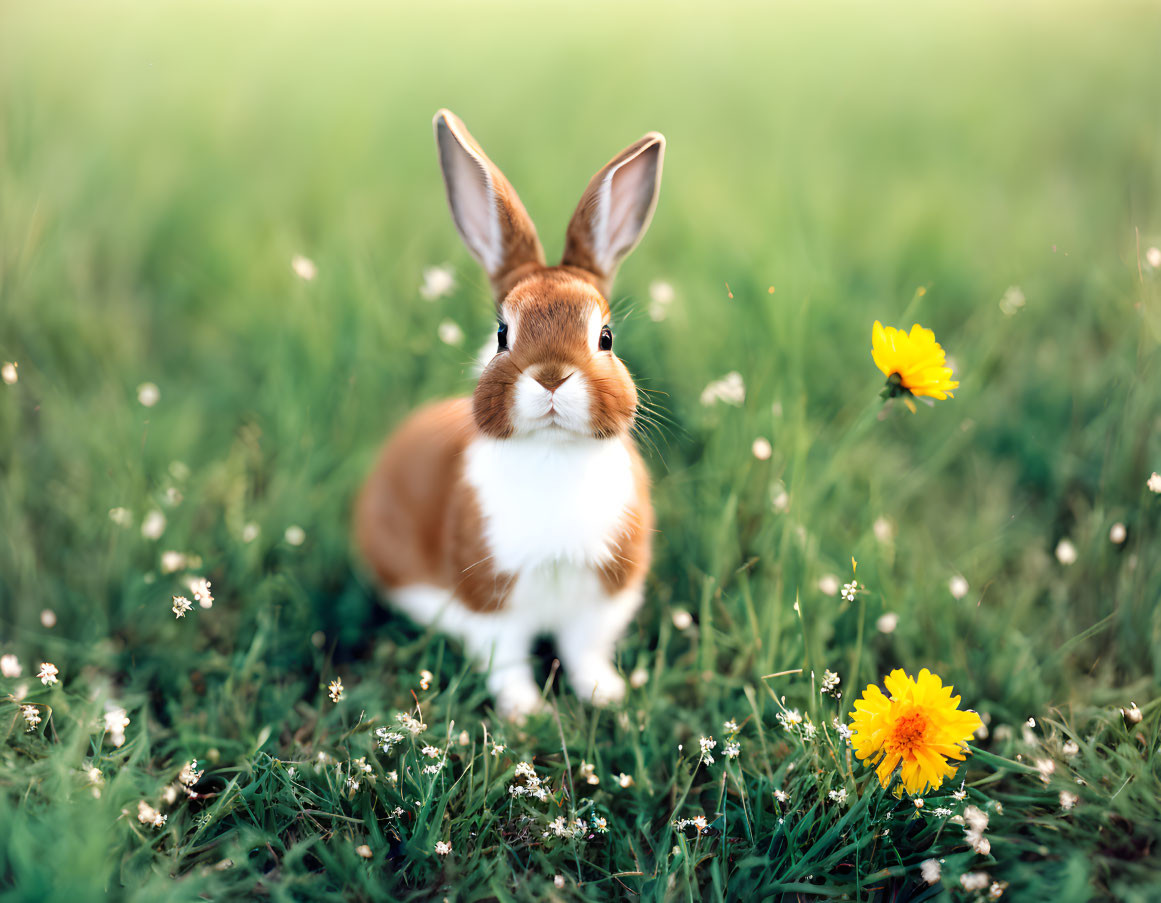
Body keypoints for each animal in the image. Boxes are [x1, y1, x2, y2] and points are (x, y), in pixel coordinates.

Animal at [350, 107, 664, 719]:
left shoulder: (604, 596)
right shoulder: (490, 597)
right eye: (502, 334)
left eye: (606, 337)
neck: (553, 452)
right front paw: (527, 714)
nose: (551, 376)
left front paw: (606, 696)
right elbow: (508, 661)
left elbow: (585, 652)